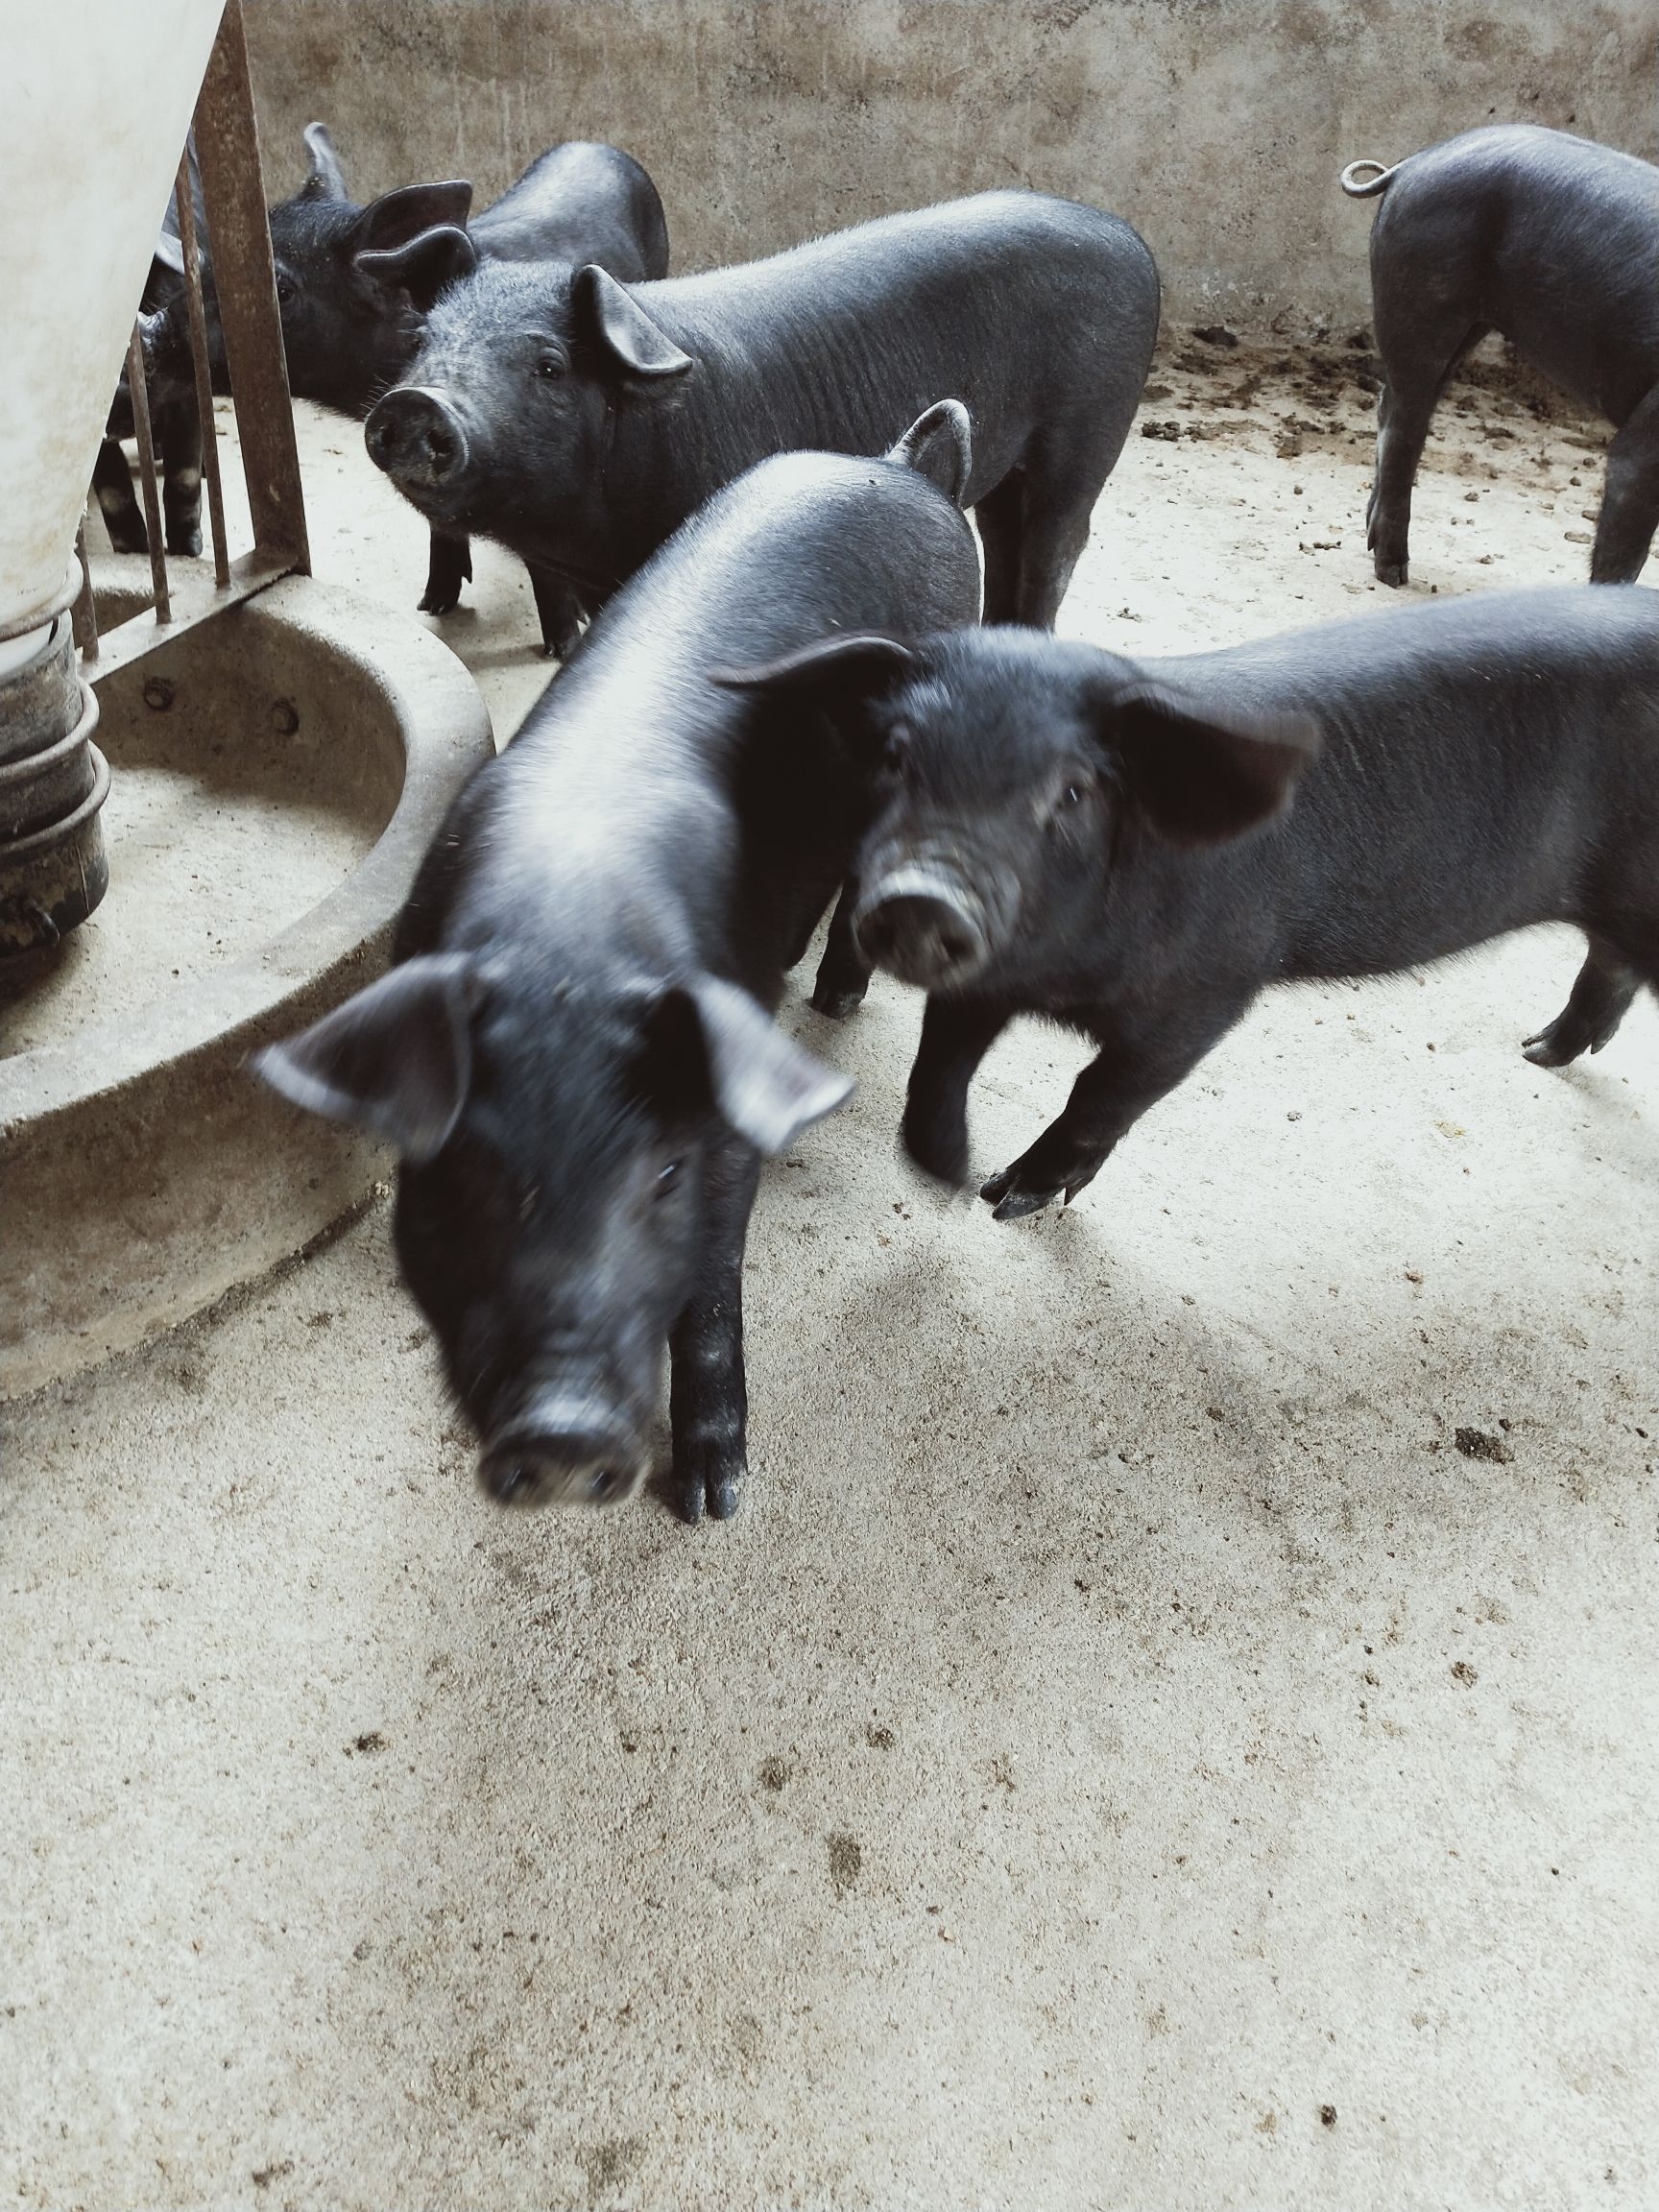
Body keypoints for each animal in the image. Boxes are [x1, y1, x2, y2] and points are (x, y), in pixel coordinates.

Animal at [258, 406, 981, 1522]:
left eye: (664, 1172)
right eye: (463, 1170)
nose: (561, 1434)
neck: (569, 941)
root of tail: (907, 465)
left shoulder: (724, 1128)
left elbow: (713, 1293)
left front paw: (715, 1501)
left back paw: (834, 1000)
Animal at [369, 186, 1159, 654]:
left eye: (549, 365)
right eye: (422, 339)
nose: (417, 401)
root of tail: (1131, 239)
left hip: (1090, 431)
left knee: (1056, 544)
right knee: (1004, 534)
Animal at [733, 592, 1659, 1230]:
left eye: (1072, 792)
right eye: (895, 757)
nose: (925, 895)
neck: (1059, 975)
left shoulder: (1214, 990)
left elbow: (1103, 1093)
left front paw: (1008, 1201)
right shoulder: (987, 972)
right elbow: (939, 1063)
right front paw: (950, 1176)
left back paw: (1539, 1053)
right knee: (1607, 963)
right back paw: (1539, 1052)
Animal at [1344, 123, 1659, 579]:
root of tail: (1410, 166)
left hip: (1467, 319)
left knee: (1394, 408)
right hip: (1421, 289)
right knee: (1405, 424)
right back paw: (1394, 573)